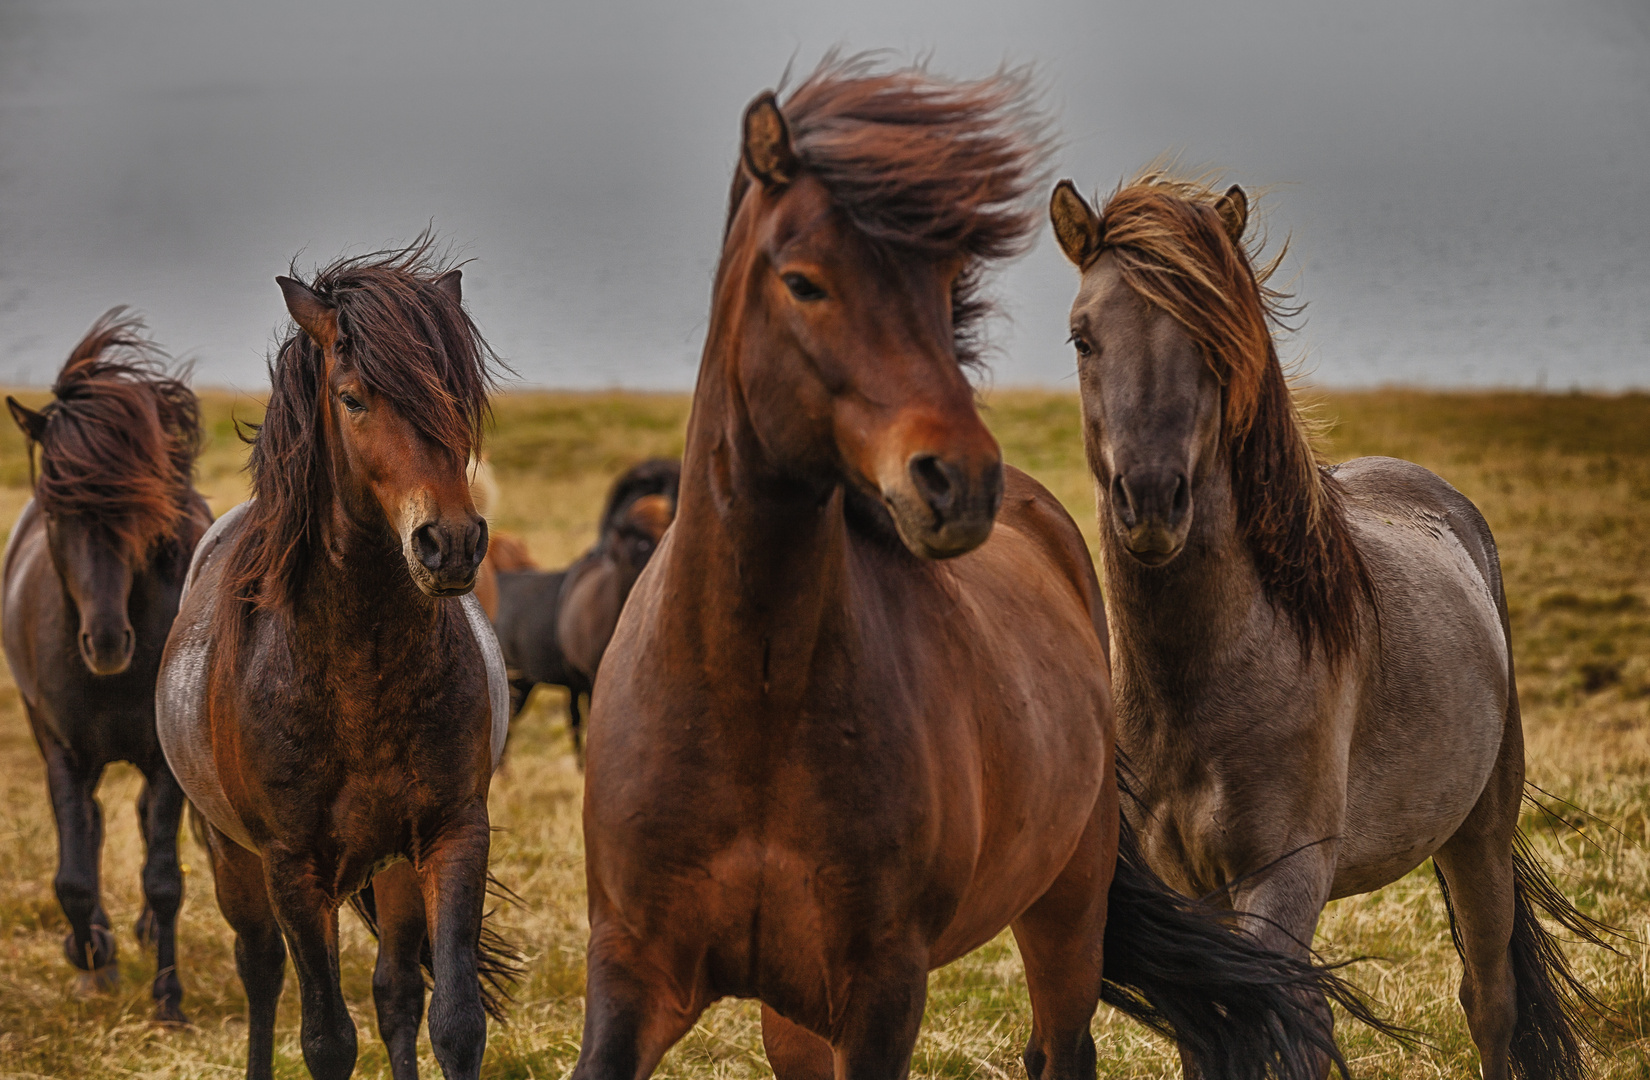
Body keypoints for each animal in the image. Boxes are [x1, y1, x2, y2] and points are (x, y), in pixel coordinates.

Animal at [1, 309, 211, 1022]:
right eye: (57, 509)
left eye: (142, 510)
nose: (107, 642)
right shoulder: (64, 751)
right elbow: (71, 874)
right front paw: (93, 958)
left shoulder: (165, 760)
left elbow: (165, 876)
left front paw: (170, 1001)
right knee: (89, 827)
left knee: (145, 825)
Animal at [155, 245, 514, 1080]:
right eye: (353, 399)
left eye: (457, 398)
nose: (451, 543)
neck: (359, 674)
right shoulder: (292, 868)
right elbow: (325, 1037)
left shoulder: (452, 833)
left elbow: (453, 1021)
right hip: (234, 857)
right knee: (260, 971)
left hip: (394, 866)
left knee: (396, 992)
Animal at [570, 61, 1379, 1080]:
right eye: (802, 282)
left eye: (940, 285)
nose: (958, 480)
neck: (747, 691)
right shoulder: (634, 976)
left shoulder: (881, 991)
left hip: (1064, 912)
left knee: (1061, 1046)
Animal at [1056, 171, 1610, 1080]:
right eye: (1082, 337)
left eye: (1217, 337)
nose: (1152, 499)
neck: (1205, 672)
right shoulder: (1188, 893)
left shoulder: (1282, 875)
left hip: (1480, 832)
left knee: (1491, 1001)